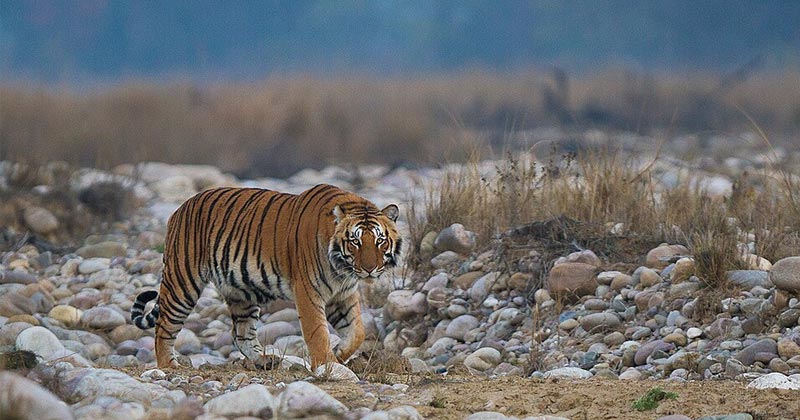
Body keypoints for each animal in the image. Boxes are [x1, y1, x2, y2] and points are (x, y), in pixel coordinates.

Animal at [130, 184, 401, 370]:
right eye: (355, 241)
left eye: (379, 240)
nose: (369, 269)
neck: (342, 270)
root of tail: (179, 209)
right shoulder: (308, 292)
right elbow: (317, 331)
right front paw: (327, 365)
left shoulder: (342, 295)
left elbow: (358, 332)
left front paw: (340, 352)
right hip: (183, 282)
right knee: (164, 326)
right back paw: (168, 365)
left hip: (241, 292)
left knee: (240, 334)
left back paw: (263, 361)